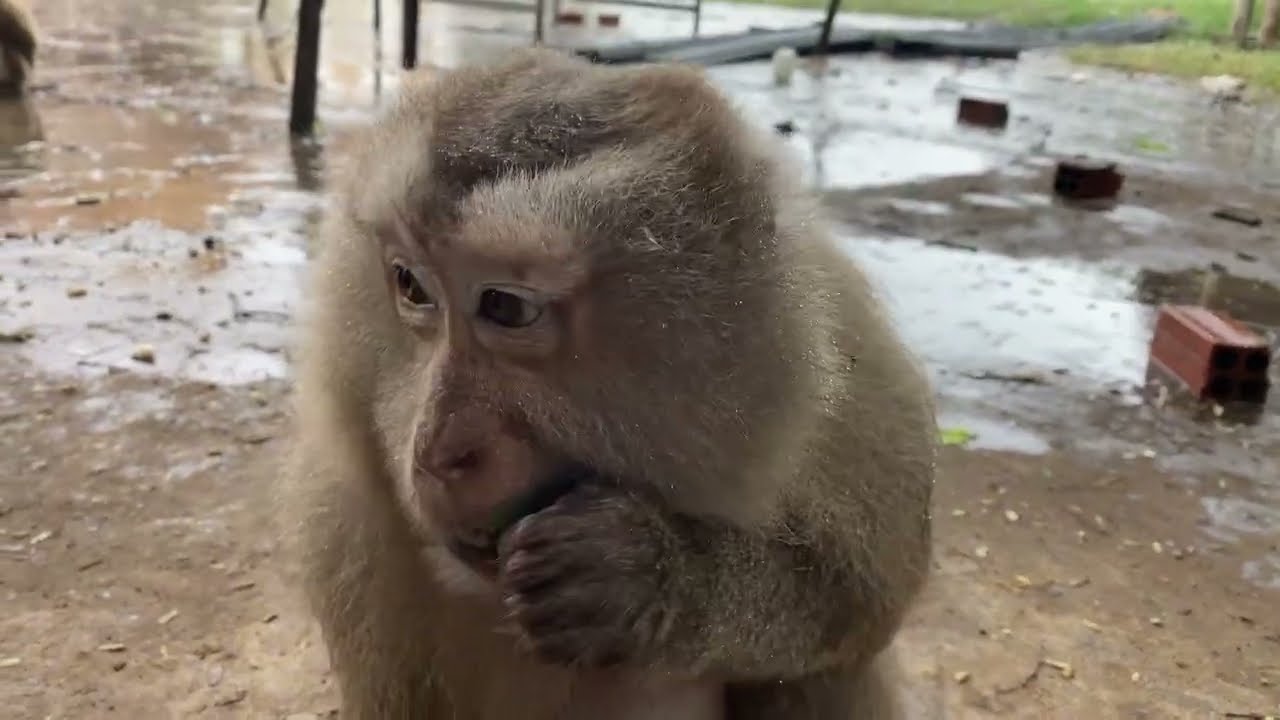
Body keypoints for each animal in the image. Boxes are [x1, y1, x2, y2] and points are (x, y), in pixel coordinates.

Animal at [281, 46, 936, 720]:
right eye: (411, 285)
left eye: (506, 307)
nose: (439, 451)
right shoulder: (344, 524)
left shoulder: (838, 358)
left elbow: (865, 601)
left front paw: (655, 575)